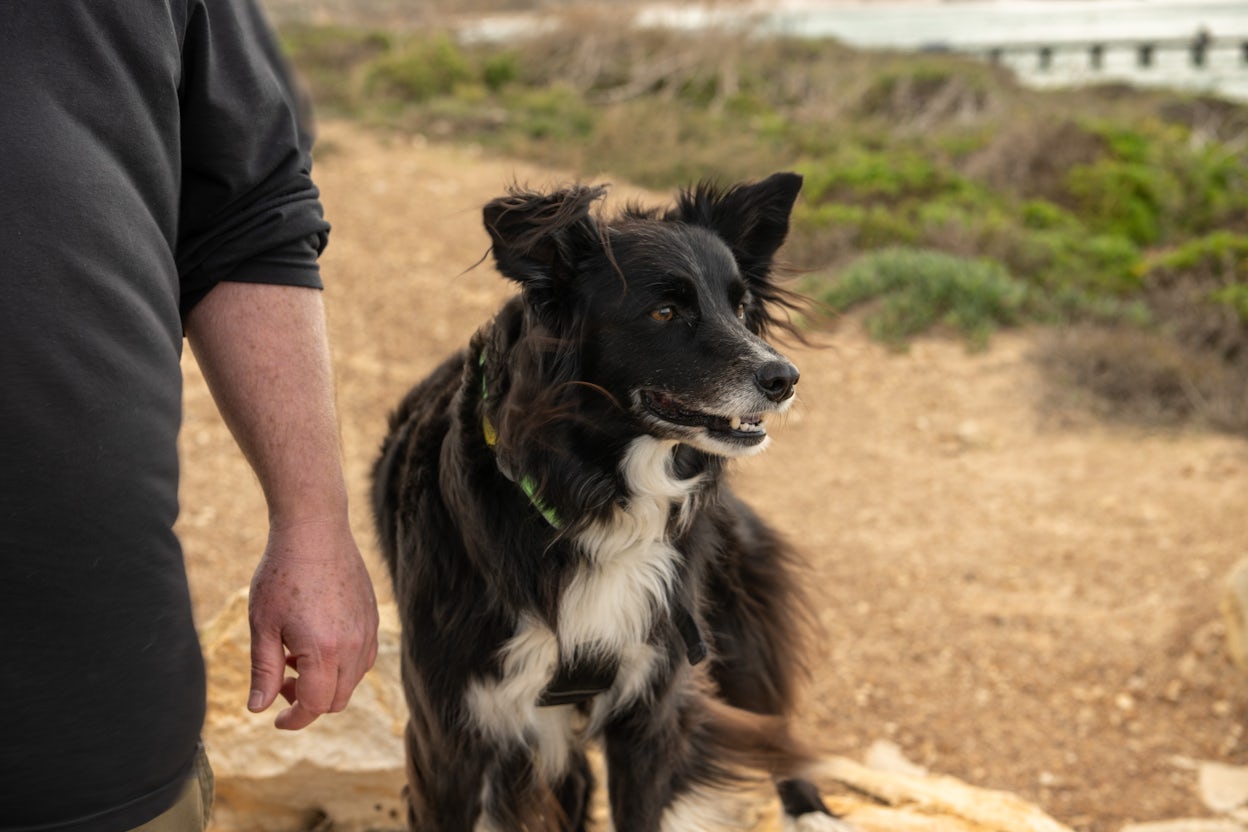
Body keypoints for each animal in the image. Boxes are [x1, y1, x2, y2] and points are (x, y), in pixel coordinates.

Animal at [369, 172, 848, 828]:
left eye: (740, 306)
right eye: (665, 310)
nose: (785, 379)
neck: (595, 500)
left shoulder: (648, 715)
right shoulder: (449, 735)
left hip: (736, 628)